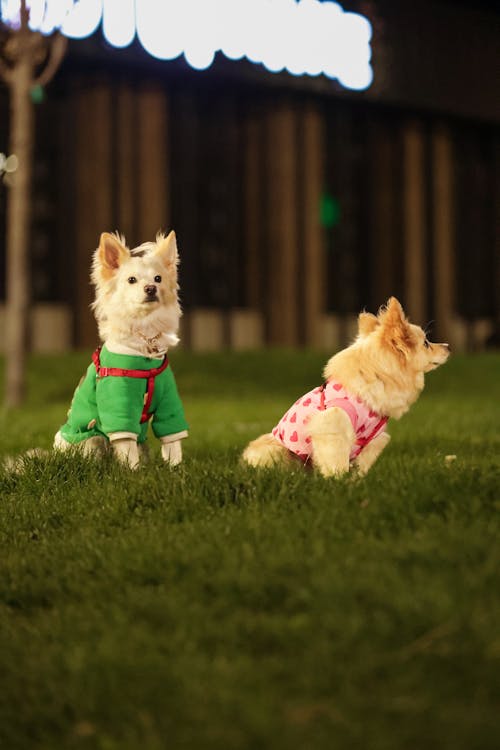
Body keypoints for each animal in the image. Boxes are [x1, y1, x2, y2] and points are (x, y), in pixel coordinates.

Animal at [242, 298, 450, 478]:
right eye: (426, 343)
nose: (448, 345)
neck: (378, 377)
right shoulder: (333, 425)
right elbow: (336, 461)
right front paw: (338, 482)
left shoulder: (373, 440)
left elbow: (360, 467)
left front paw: (355, 483)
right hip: (279, 451)